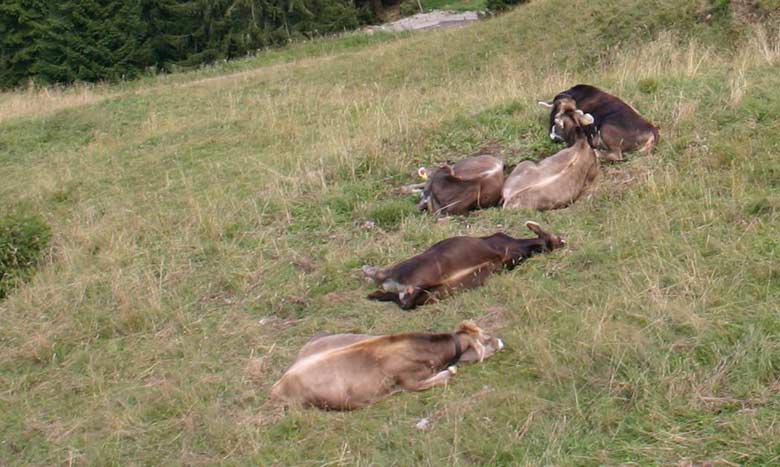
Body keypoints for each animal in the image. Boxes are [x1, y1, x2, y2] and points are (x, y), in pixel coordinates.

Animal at [270, 320, 506, 412]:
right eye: (486, 338)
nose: (501, 341)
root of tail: (278, 385)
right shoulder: (409, 381)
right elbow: (445, 376)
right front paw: (451, 370)